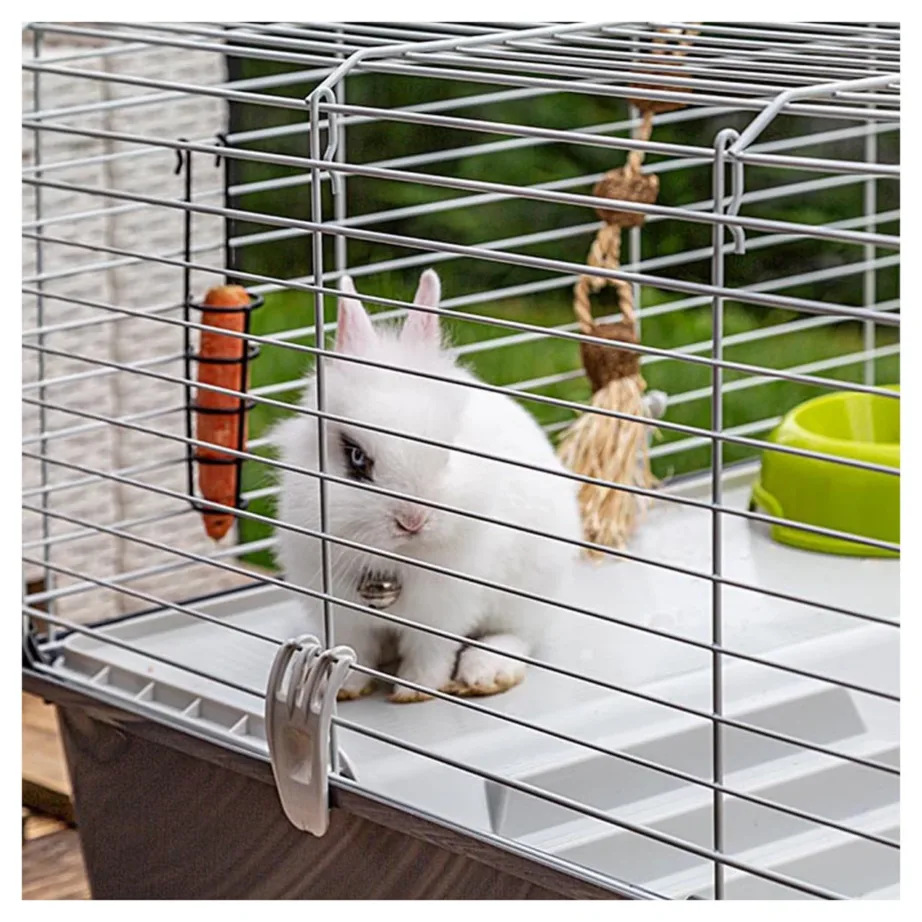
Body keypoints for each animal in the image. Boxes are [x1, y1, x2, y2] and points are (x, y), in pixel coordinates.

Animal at [273, 268, 583, 702]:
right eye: (356, 458)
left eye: (447, 451)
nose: (413, 521)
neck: (395, 559)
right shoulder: (340, 608)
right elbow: (356, 649)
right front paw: (343, 688)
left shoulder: (443, 609)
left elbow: (431, 652)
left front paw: (413, 691)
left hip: (530, 590)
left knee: (517, 636)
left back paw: (485, 672)